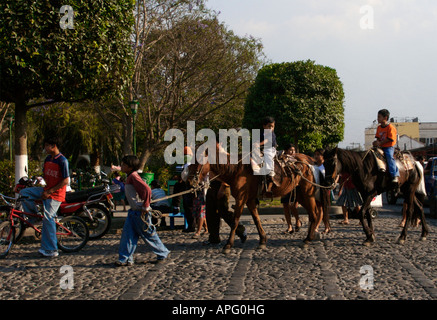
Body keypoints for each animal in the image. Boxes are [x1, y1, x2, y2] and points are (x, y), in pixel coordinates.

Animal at [186, 150, 328, 252]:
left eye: (197, 162)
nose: (190, 180)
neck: (237, 170)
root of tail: (309, 161)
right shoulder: (249, 200)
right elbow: (256, 219)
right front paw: (262, 240)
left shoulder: (241, 198)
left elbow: (235, 221)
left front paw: (228, 245)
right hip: (301, 195)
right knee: (313, 214)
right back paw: (310, 236)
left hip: (307, 194)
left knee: (314, 214)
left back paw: (308, 239)